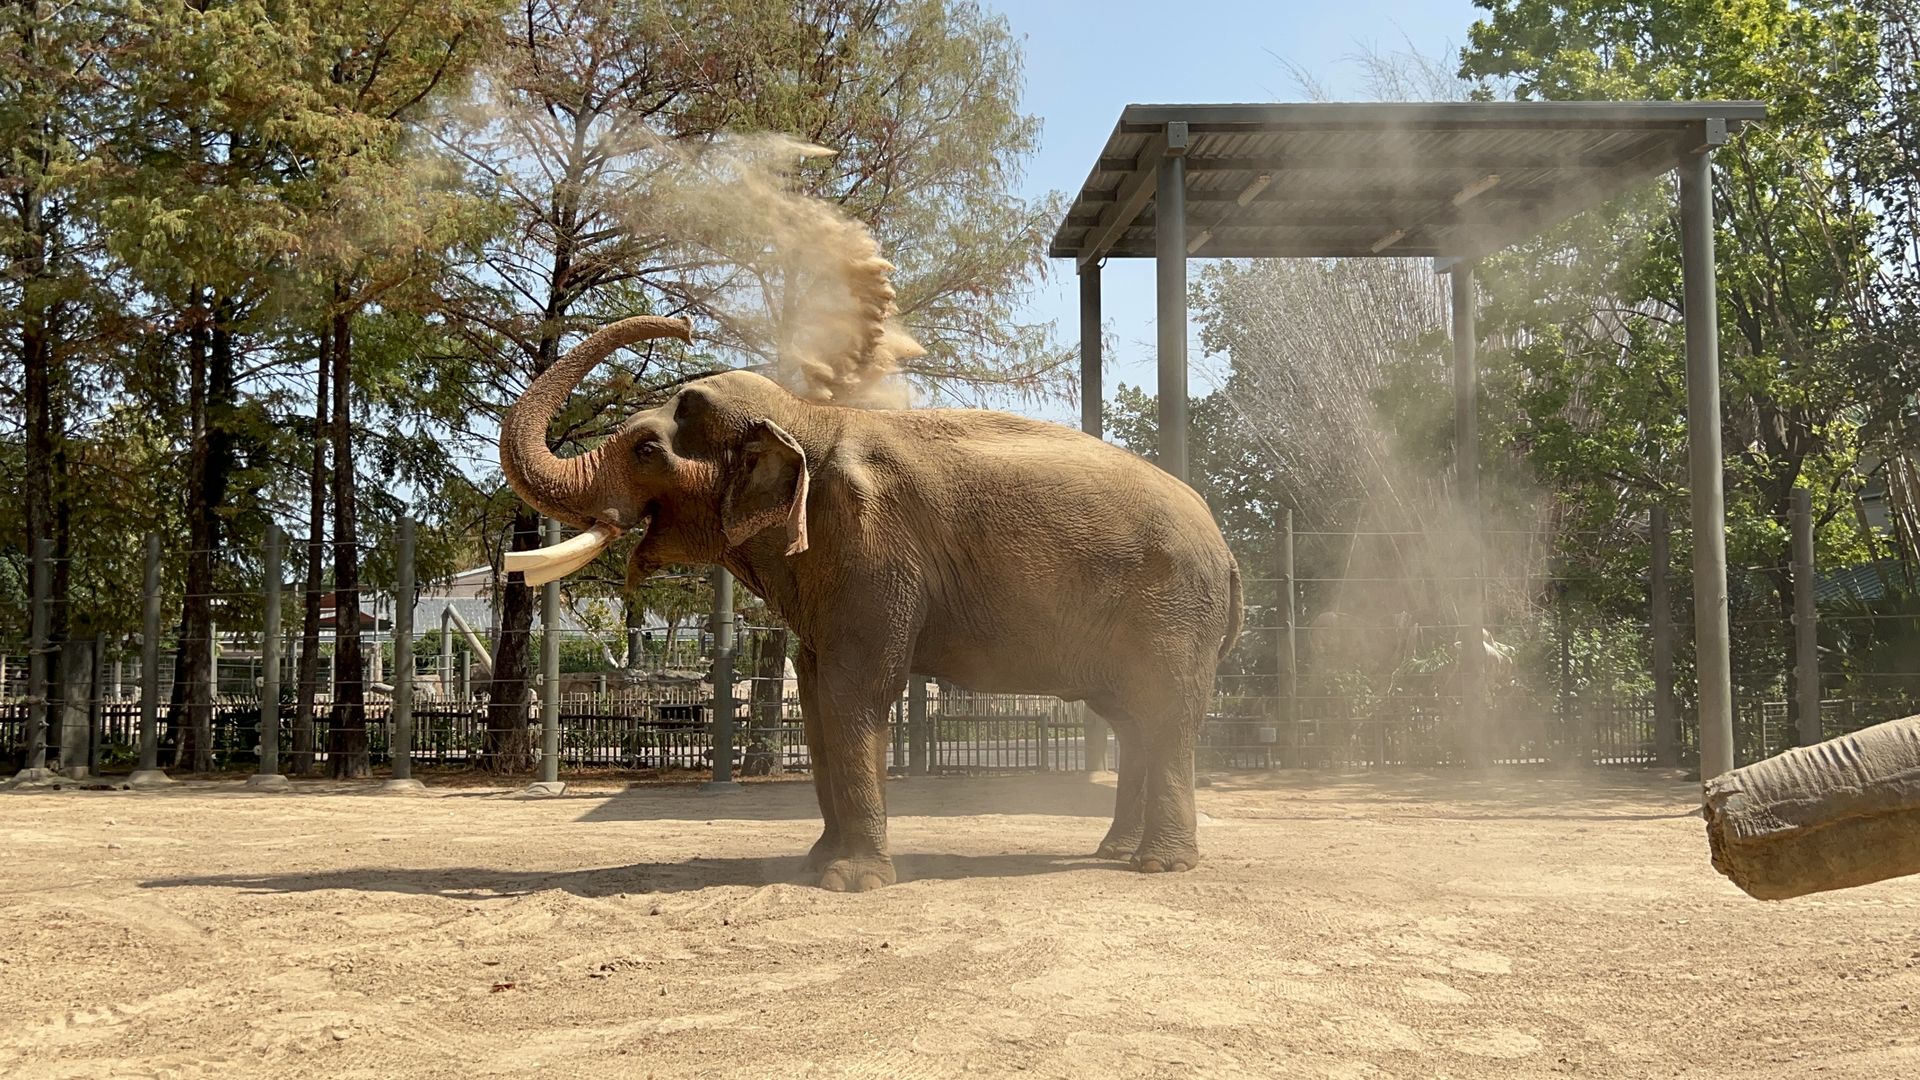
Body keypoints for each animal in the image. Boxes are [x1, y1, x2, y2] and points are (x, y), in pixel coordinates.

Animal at [499, 316, 1242, 891]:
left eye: (647, 449)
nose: (682, 326)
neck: (808, 416)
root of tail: (1225, 547)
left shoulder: (872, 549)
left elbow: (858, 686)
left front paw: (850, 882)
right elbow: (816, 686)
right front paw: (816, 865)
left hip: (1173, 611)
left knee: (1165, 712)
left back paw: (1159, 866)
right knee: (1132, 720)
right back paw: (1114, 852)